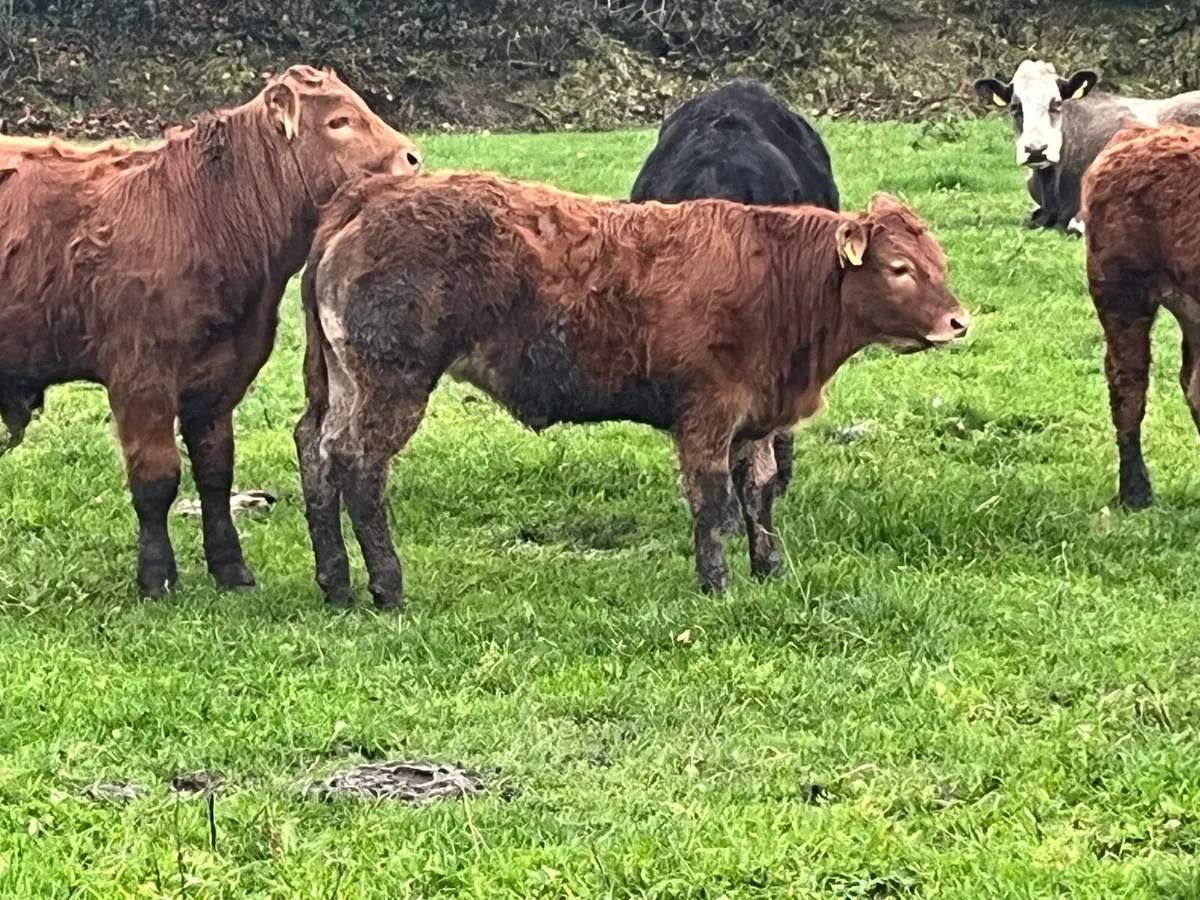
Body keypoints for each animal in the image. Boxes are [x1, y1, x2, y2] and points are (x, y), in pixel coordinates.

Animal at [0, 65, 422, 597]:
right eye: (339, 121)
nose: (412, 158)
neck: (203, 213)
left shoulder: (221, 378)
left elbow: (216, 472)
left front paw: (230, 568)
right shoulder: (141, 377)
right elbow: (156, 477)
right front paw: (156, 577)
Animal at [294, 172, 969, 609]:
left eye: (938, 261)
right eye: (899, 268)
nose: (958, 321)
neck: (774, 278)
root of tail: (372, 195)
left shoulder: (756, 415)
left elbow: (759, 493)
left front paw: (769, 569)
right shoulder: (707, 414)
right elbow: (713, 502)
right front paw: (716, 584)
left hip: (344, 382)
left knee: (315, 450)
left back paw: (335, 583)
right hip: (392, 382)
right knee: (358, 465)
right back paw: (386, 586)